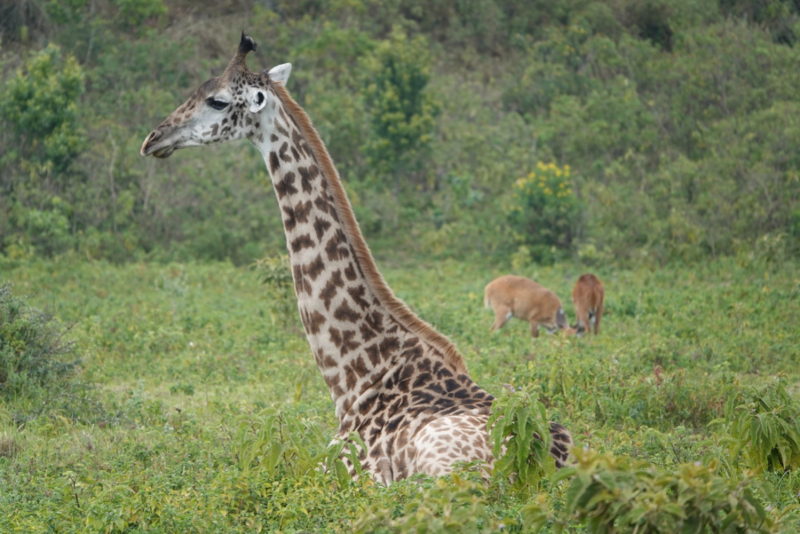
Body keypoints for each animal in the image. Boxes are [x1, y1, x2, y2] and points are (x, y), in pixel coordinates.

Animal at [139, 33, 576, 486]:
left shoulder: (338, 470)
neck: (353, 375)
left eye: (218, 101)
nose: (153, 139)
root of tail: (541, 462)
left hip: (443, 470)